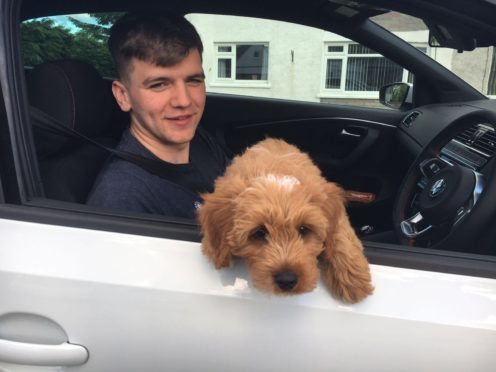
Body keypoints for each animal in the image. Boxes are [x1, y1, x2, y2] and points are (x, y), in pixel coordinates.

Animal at [197, 137, 372, 302]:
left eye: (303, 229)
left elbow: (340, 234)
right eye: (259, 232)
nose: (287, 280)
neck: (276, 172)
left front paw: (354, 279)